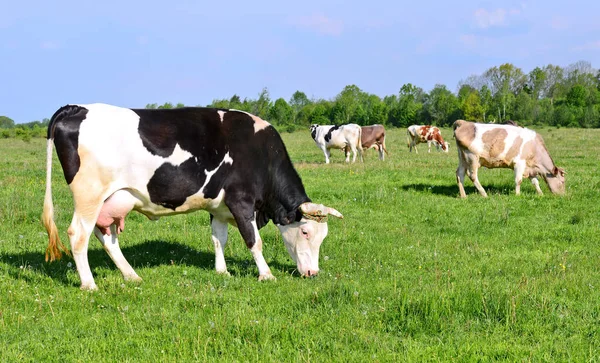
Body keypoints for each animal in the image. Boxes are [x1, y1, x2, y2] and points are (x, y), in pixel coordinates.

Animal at [42, 104, 342, 292]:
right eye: (305, 232)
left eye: (323, 236)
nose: (313, 273)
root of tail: (77, 107)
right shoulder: (241, 201)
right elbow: (254, 241)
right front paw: (266, 274)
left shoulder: (219, 206)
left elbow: (219, 239)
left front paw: (222, 271)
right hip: (89, 195)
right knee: (78, 234)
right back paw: (89, 284)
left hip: (111, 200)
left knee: (106, 236)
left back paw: (131, 275)